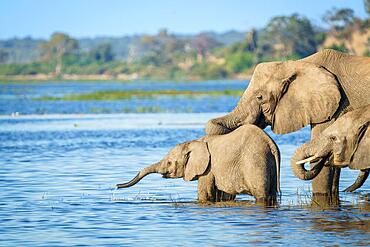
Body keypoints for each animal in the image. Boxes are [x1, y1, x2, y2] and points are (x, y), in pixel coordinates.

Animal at [117, 124, 278, 204]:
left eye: (169, 162)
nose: (117, 186)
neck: (195, 142)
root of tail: (271, 144)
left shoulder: (208, 168)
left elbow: (205, 194)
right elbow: (222, 195)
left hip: (255, 162)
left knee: (261, 195)